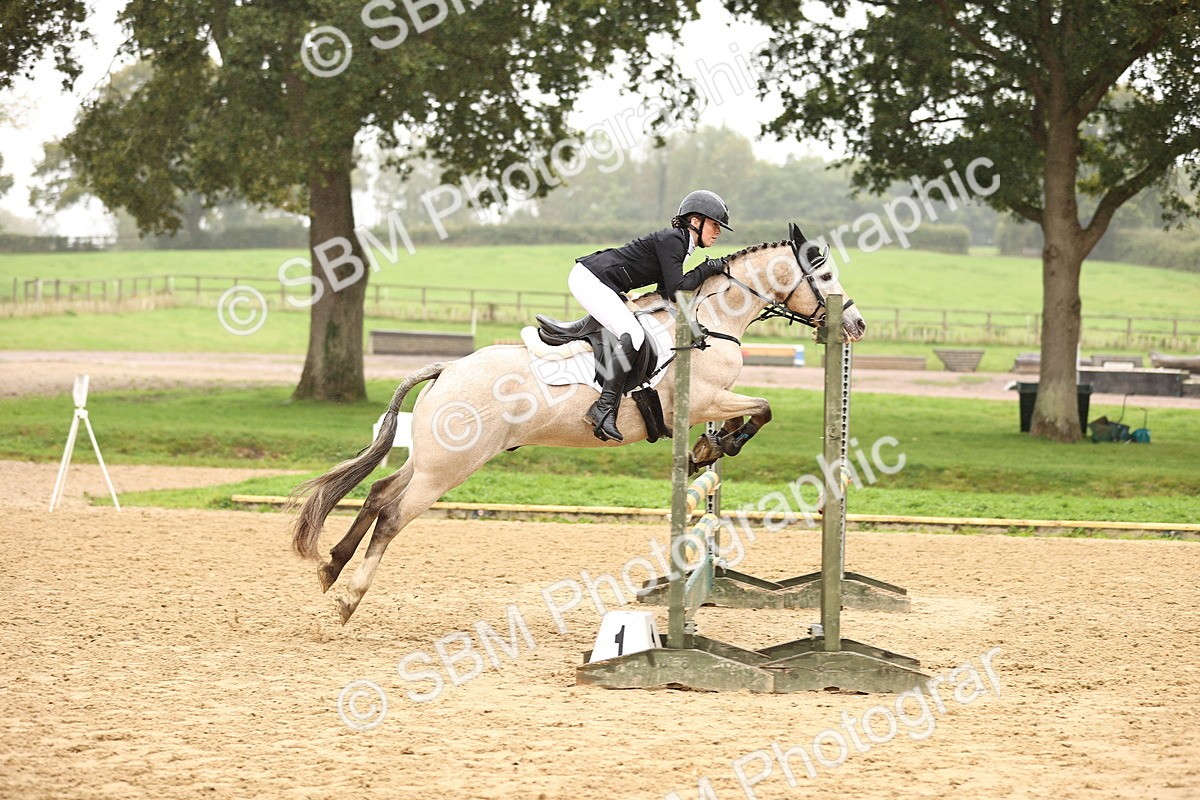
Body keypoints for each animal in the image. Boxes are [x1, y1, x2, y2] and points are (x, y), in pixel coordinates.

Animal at [291, 226, 866, 623]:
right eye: (825, 275)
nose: (857, 325)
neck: (712, 318)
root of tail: (445, 370)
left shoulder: (709, 402)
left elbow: (752, 414)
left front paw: (709, 450)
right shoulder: (705, 398)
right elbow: (763, 408)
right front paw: (720, 445)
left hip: (433, 458)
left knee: (378, 492)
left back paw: (330, 567)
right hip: (449, 469)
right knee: (392, 515)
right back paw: (347, 599)